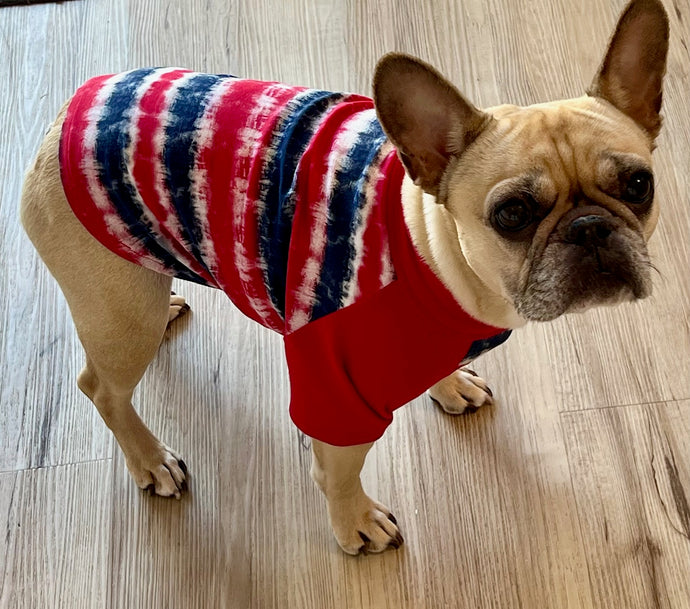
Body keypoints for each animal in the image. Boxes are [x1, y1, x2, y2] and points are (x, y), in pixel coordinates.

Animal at [20, 0, 668, 552]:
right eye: (512, 214)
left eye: (640, 185)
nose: (590, 227)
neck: (431, 252)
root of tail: (65, 115)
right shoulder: (336, 393)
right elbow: (339, 471)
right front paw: (354, 521)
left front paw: (449, 384)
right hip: (122, 319)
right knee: (101, 388)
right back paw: (149, 459)